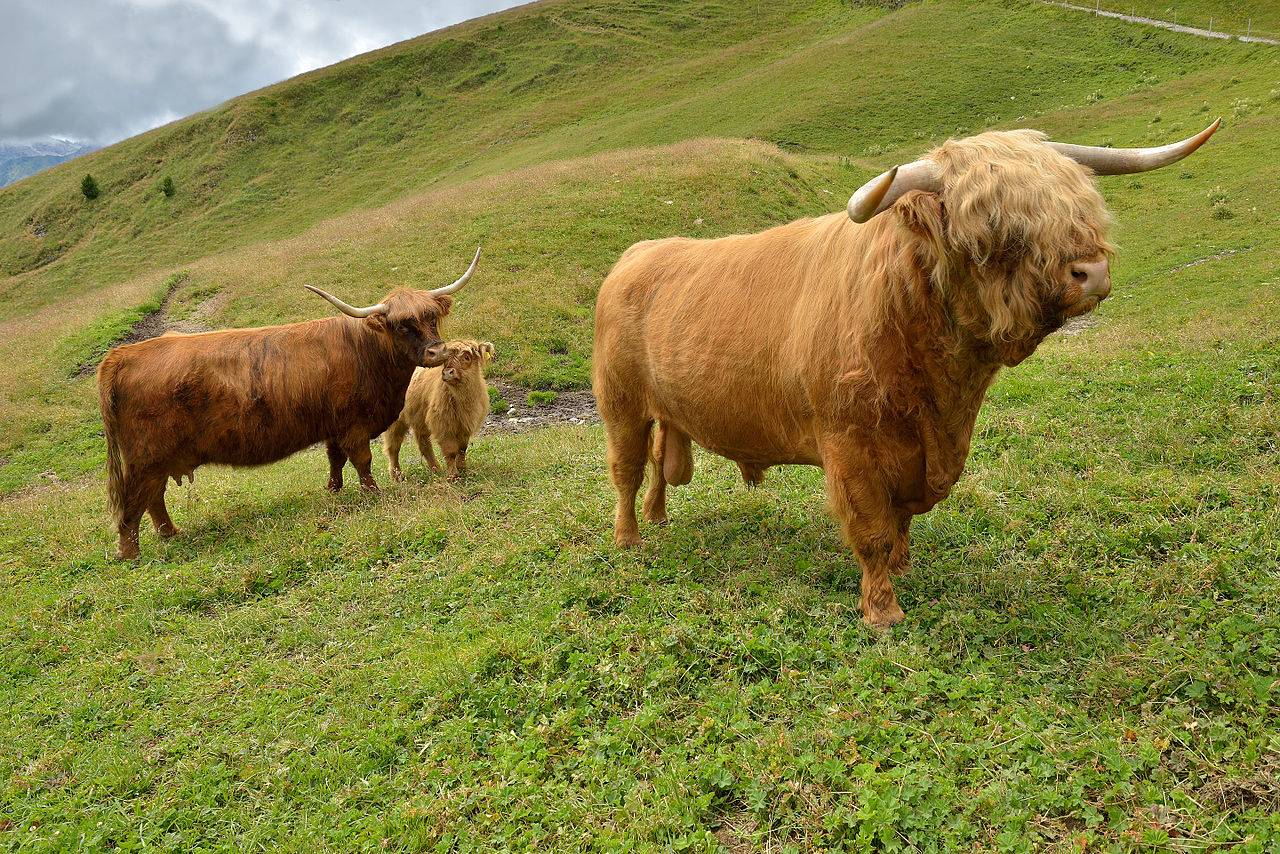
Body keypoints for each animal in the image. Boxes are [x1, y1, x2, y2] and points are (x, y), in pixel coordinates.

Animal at [381, 338, 491, 481]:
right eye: (445, 359)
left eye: (467, 357)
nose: (447, 373)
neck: (463, 400)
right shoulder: (443, 424)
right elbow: (450, 451)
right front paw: (453, 476)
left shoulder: (465, 424)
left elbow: (462, 448)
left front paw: (463, 469)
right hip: (395, 421)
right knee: (393, 446)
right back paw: (397, 476)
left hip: (419, 418)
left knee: (423, 443)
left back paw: (436, 469)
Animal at [593, 121, 1223, 627]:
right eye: (993, 233)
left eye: (1079, 206)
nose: (1091, 272)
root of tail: (633, 256)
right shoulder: (848, 444)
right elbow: (872, 528)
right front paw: (882, 611)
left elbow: (901, 520)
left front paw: (903, 566)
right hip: (620, 401)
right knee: (625, 470)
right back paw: (629, 541)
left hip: (665, 407)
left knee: (659, 462)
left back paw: (659, 519)